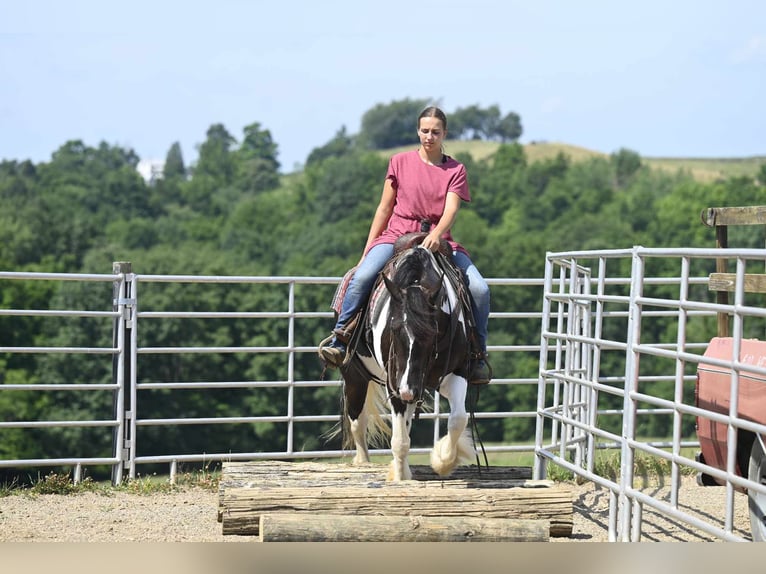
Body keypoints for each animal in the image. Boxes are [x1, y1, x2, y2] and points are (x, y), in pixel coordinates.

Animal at [340, 236, 476, 484]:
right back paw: (362, 461)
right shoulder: (395, 382)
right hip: (355, 376)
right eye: (393, 329)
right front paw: (400, 475)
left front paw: (443, 461)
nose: (406, 390)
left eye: (432, 333)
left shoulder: (457, 372)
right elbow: (400, 440)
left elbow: (458, 420)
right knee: (357, 421)